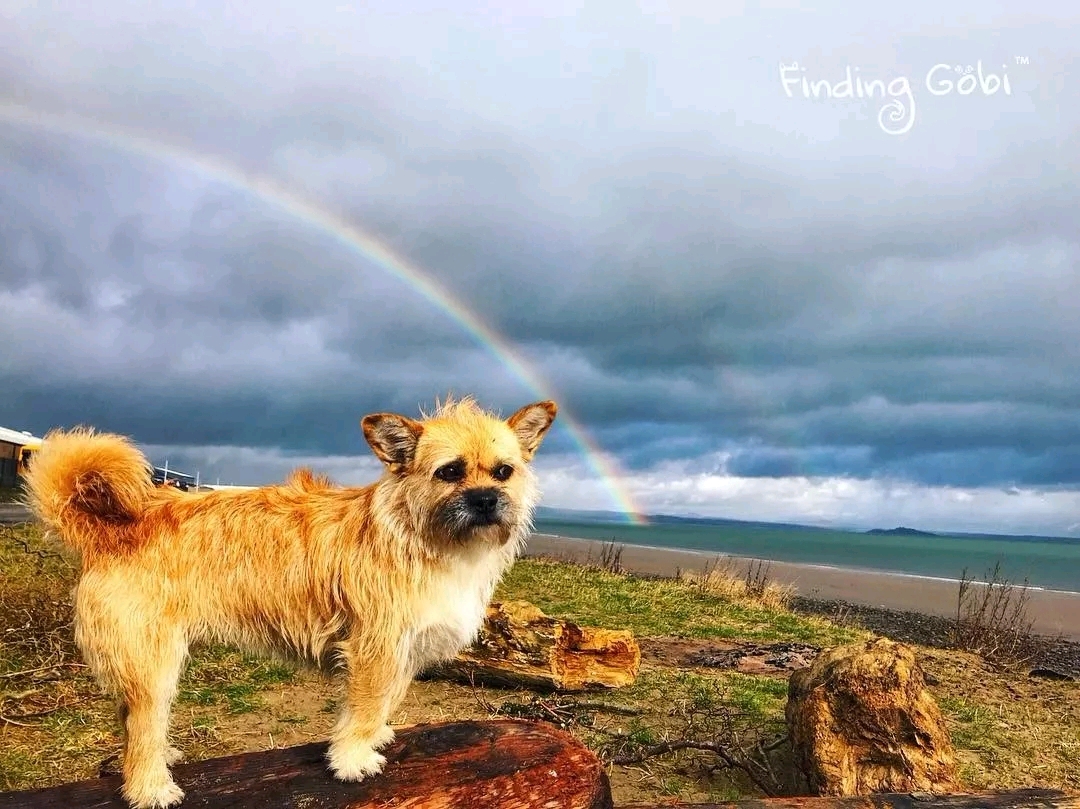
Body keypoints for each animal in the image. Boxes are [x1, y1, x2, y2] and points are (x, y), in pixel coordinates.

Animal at [25, 397, 557, 807]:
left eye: (504, 472)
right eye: (449, 472)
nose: (487, 499)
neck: (424, 535)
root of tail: (111, 531)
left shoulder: (402, 652)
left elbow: (384, 702)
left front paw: (374, 737)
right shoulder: (374, 648)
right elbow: (366, 705)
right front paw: (352, 759)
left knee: (130, 719)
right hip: (154, 665)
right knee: (142, 727)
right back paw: (151, 786)